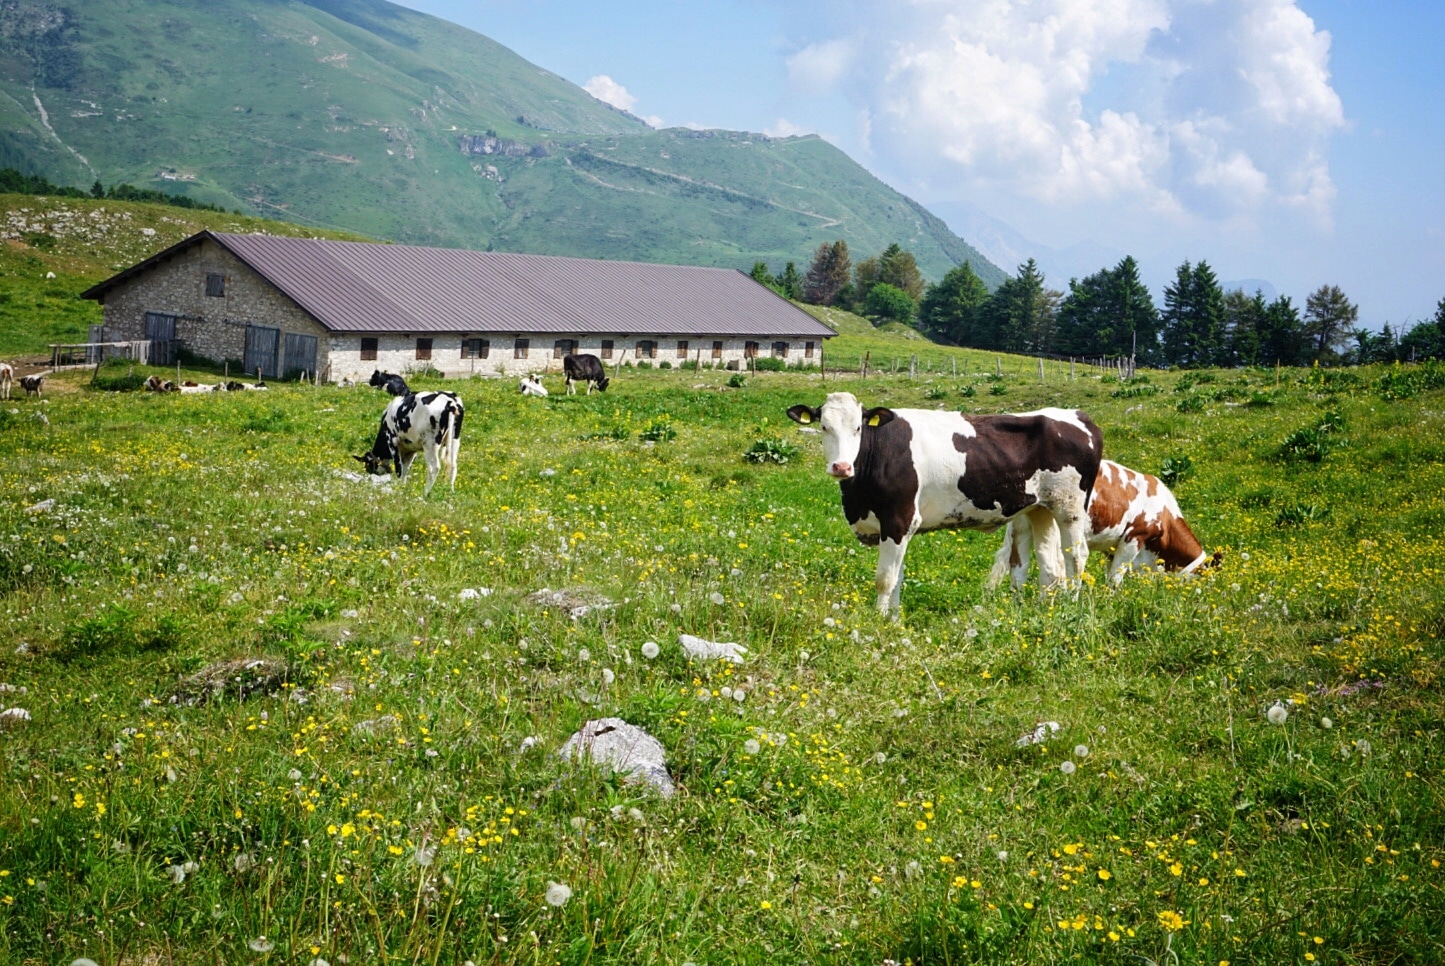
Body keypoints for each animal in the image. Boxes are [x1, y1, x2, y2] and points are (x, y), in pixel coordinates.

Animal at [786, 392, 1098, 615]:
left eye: (858, 428)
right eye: (824, 427)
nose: (841, 466)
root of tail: (1077, 414)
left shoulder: (898, 520)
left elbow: (885, 578)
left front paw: (878, 621)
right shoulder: (898, 527)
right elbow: (898, 577)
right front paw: (893, 620)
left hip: (1070, 508)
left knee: (1076, 556)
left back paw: (1070, 607)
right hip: (1040, 508)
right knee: (1050, 565)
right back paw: (1043, 612)